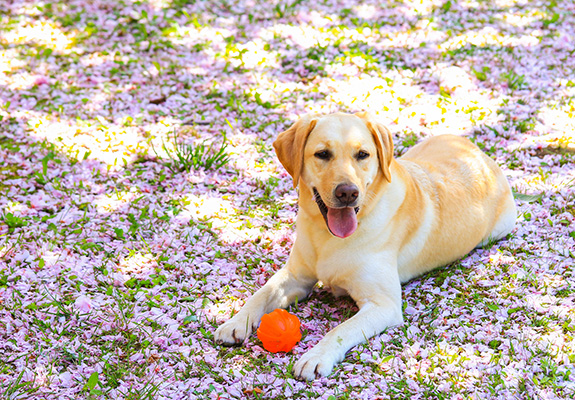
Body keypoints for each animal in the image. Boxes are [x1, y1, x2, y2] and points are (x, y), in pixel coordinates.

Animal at [215, 111, 516, 380]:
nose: (348, 193)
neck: (328, 237)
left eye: (362, 155)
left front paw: (316, 356)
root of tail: (478, 152)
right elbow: (260, 294)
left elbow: (342, 330)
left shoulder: (383, 304)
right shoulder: (295, 277)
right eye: (322, 154)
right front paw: (235, 322)